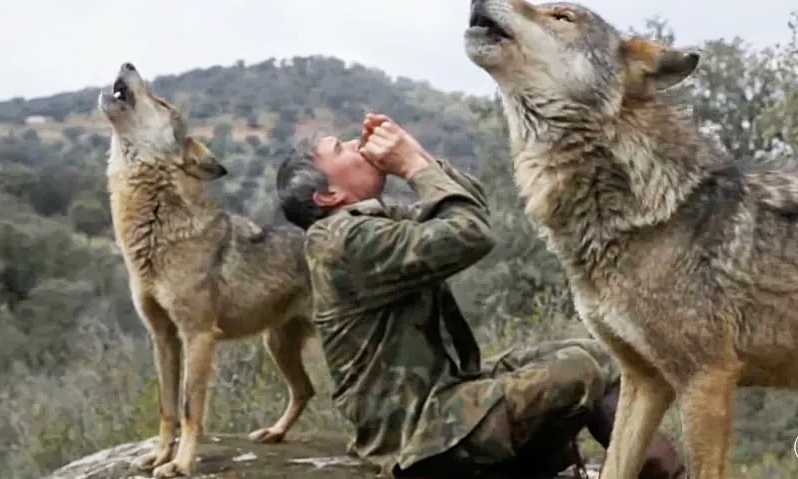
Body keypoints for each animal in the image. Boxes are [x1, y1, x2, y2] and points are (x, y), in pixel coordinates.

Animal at [98, 63, 317, 478]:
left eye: (163, 103)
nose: (128, 64)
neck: (155, 231)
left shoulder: (198, 336)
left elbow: (189, 408)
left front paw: (181, 464)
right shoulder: (164, 338)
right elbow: (167, 407)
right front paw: (158, 457)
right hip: (276, 345)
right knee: (305, 390)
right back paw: (274, 433)